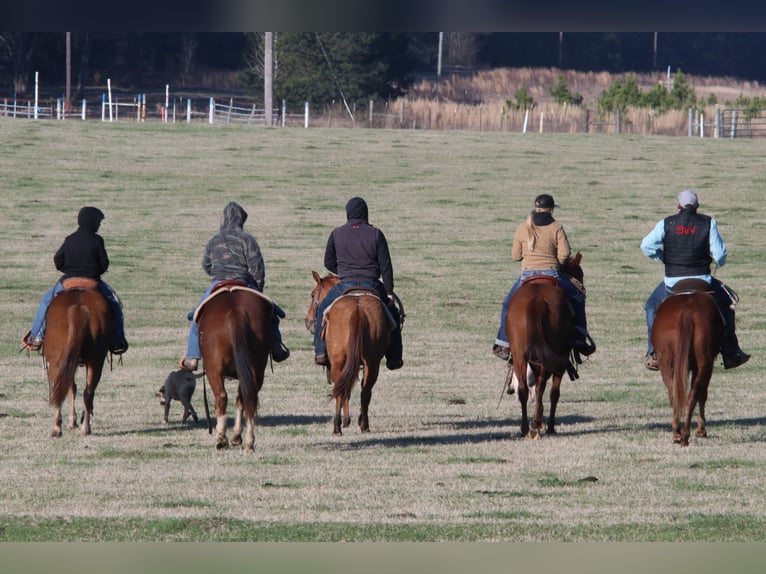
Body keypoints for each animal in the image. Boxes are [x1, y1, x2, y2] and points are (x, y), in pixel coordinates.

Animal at [44, 286, 111, 438]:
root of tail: (78, 308)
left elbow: (69, 389)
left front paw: (71, 422)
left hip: (57, 363)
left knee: (60, 392)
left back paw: (57, 428)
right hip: (95, 362)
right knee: (88, 393)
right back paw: (85, 428)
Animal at [196, 286, 274, 452]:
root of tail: (235, 311)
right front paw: (237, 436)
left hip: (213, 370)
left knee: (221, 397)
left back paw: (221, 439)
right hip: (257, 368)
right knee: (249, 397)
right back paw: (249, 441)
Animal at [304, 274, 390, 436]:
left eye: (313, 294)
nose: (308, 321)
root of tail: (358, 309)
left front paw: (346, 420)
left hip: (338, 362)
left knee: (340, 390)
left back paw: (337, 426)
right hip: (372, 363)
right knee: (365, 392)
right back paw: (364, 425)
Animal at [508, 254, 584, 438]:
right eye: (581, 274)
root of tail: (537, 300)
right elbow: (554, 393)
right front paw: (548, 425)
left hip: (520, 356)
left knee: (524, 389)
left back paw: (525, 429)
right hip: (556, 356)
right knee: (543, 387)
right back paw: (538, 424)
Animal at [656, 282, 728, 448]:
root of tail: (686, 312)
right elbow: (703, 394)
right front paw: (701, 429)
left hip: (667, 365)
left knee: (676, 394)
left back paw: (678, 434)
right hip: (704, 364)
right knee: (694, 394)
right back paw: (685, 435)